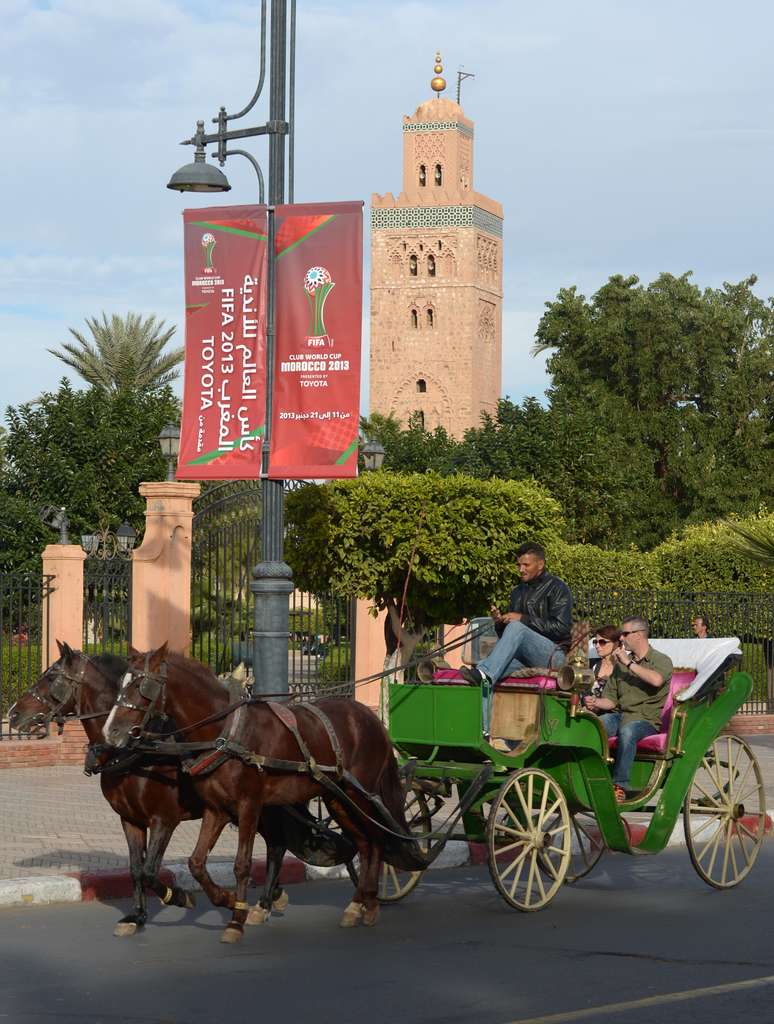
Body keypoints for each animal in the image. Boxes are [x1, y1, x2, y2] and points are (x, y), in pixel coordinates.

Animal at [9, 647, 286, 937]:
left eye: (51, 677)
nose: (13, 713)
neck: (134, 751)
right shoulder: (130, 819)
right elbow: (136, 868)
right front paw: (137, 916)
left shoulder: (164, 820)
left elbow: (150, 871)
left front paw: (180, 896)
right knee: (277, 843)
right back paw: (272, 896)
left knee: (277, 845)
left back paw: (264, 902)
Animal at [105, 643, 413, 937]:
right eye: (121, 683)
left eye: (141, 686)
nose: (111, 732)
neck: (226, 732)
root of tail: (371, 718)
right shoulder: (216, 808)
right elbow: (196, 863)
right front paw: (226, 900)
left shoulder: (248, 805)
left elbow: (242, 864)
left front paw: (236, 920)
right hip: (338, 798)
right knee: (365, 843)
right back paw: (356, 904)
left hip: (361, 793)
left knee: (377, 839)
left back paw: (370, 904)